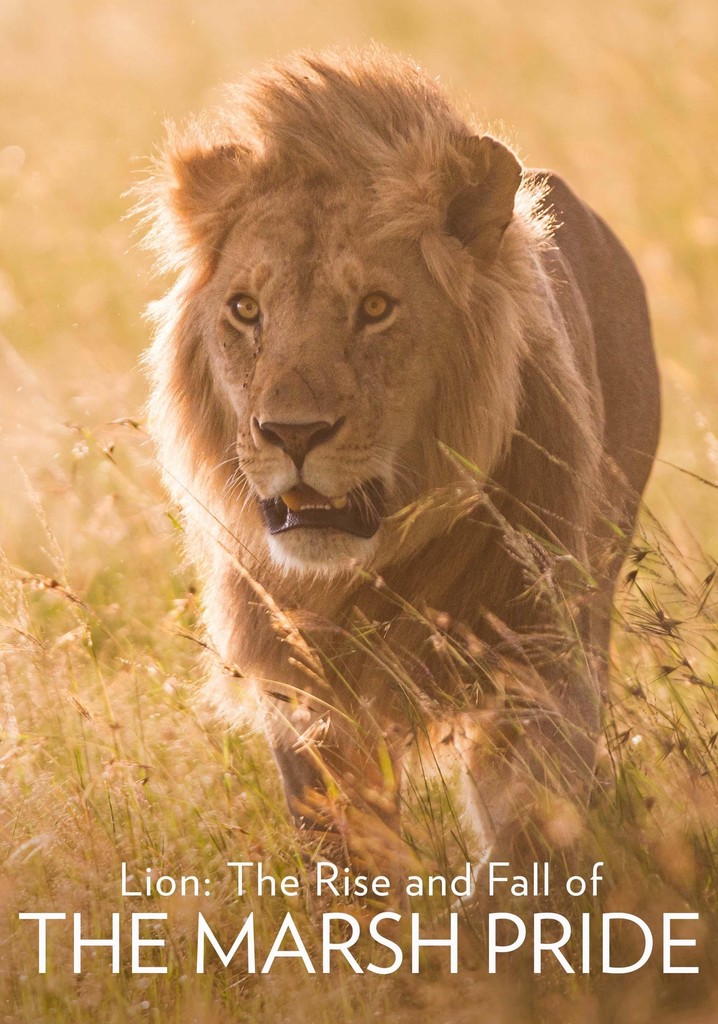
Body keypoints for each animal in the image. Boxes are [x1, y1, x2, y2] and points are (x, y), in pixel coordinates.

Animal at [140, 46, 660, 871]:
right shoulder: (306, 701)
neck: (372, 573)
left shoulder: (541, 665)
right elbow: (345, 854)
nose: (292, 434)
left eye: (376, 309)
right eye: (246, 310)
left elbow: (527, 833)